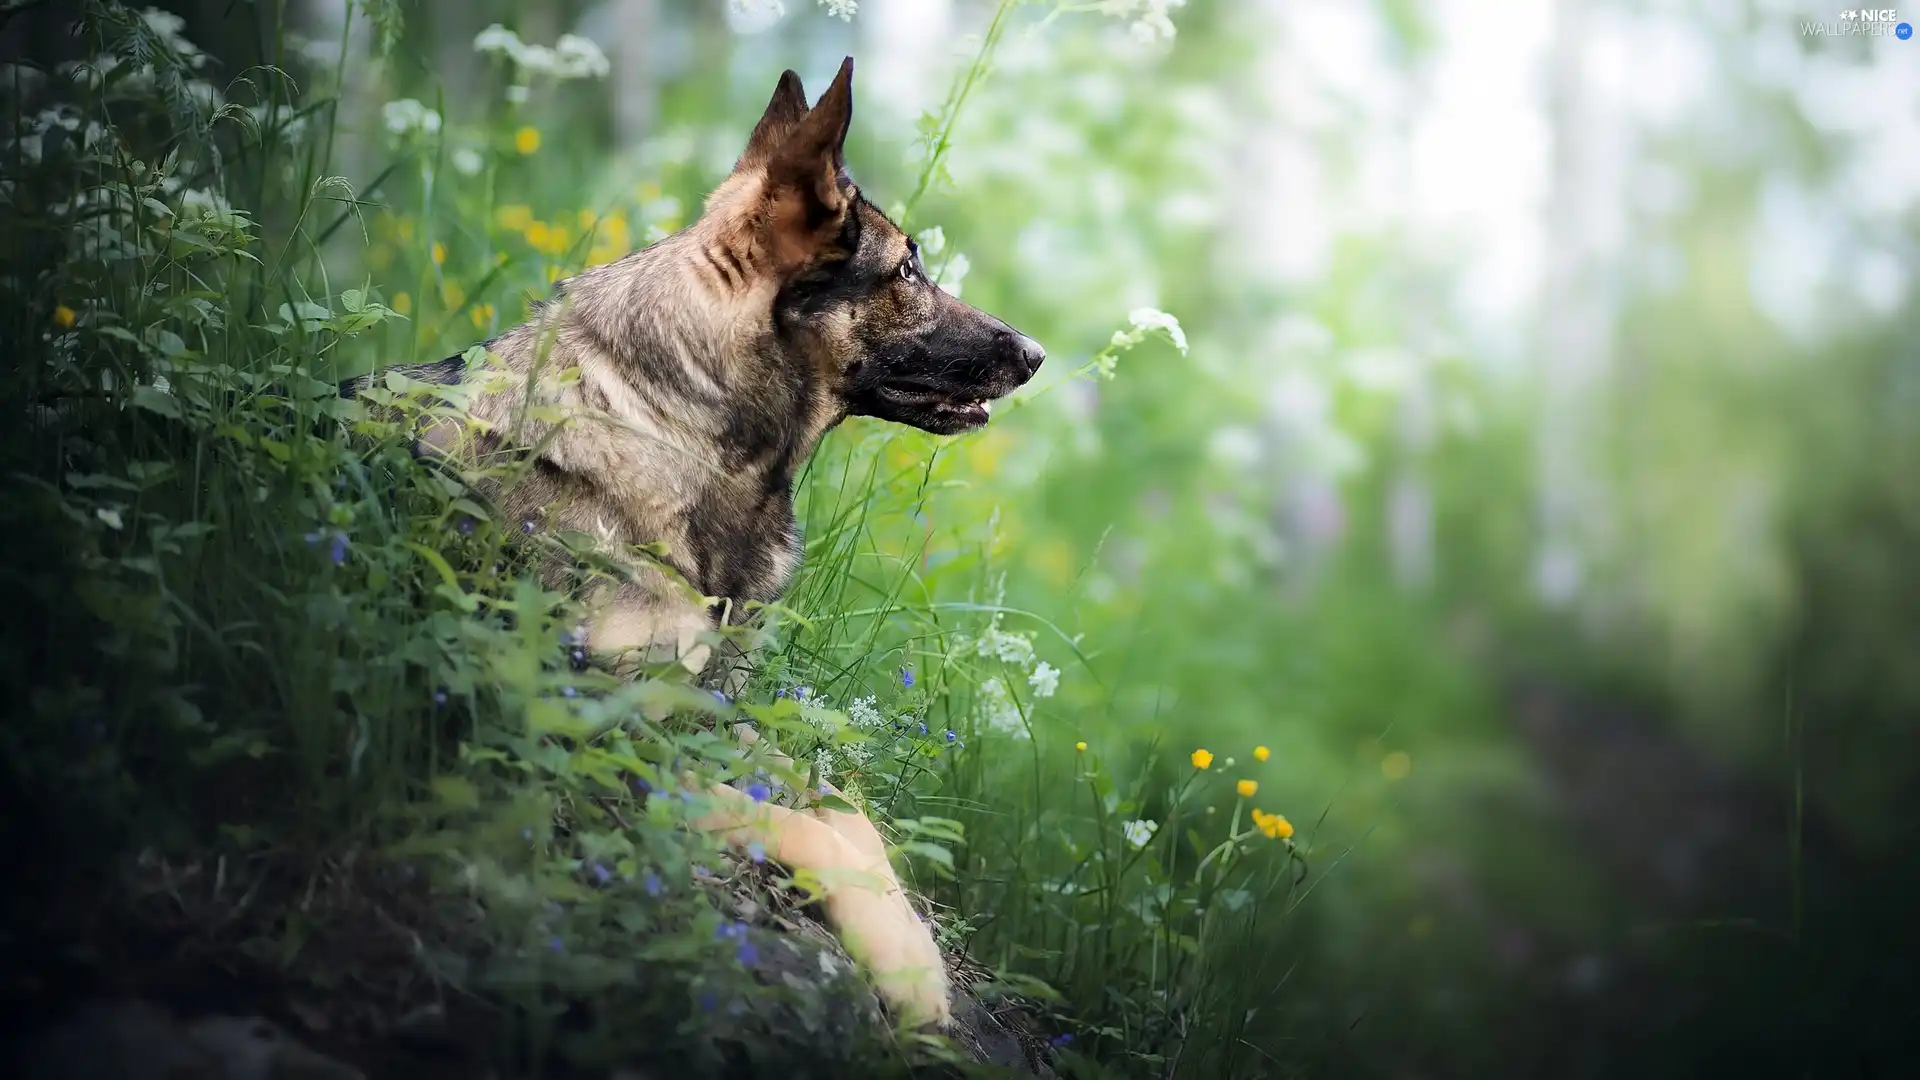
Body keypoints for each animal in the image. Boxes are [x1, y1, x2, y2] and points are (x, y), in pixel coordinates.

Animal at [339, 61, 1044, 1022]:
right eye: (906, 267)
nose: (1037, 353)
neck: (673, 425)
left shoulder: (710, 710)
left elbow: (847, 810)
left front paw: (909, 945)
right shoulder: (586, 717)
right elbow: (791, 822)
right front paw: (904, 967)